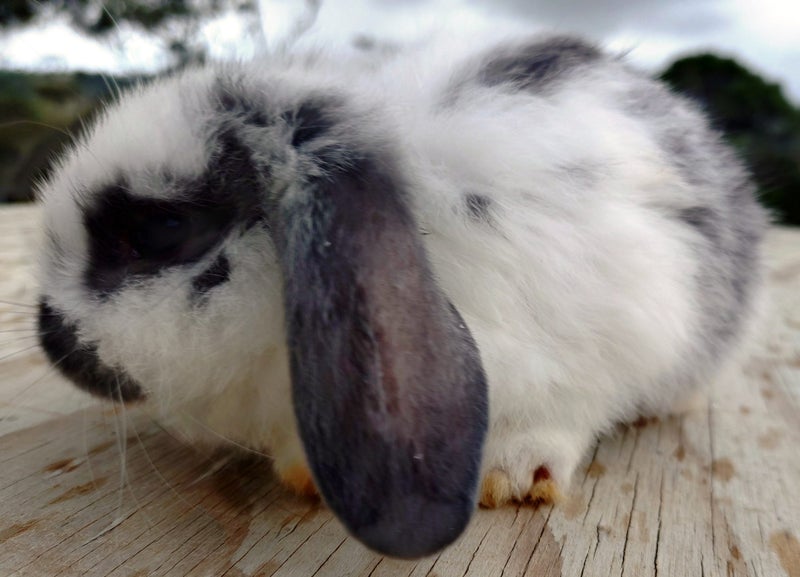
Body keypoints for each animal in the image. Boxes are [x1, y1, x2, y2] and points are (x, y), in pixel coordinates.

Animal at [35, 32, 767, 558]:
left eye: (161, 229)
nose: (51, 341)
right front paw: (303, 473)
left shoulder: (611, 331)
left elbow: (561, 414)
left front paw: (516, 476)